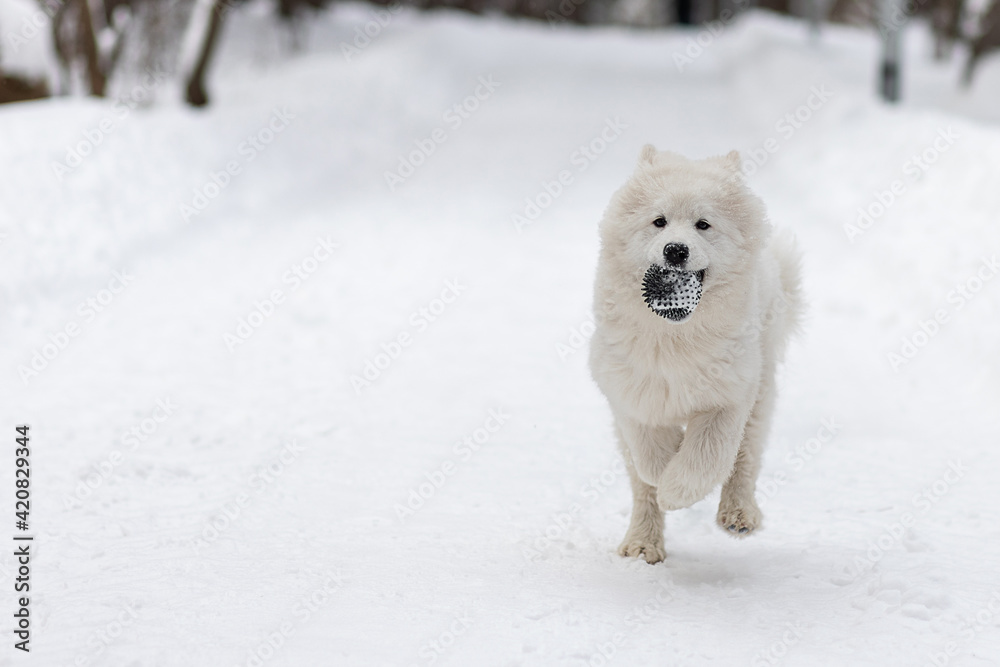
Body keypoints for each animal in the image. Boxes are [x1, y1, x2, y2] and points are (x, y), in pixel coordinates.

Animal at [588, 146, 800, 564]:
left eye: (703, 224)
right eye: (659, 222)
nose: (675, 250)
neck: (677, 335)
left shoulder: (729, 395)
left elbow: (707, 456)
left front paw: (676, 492)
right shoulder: (632, 391)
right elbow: (650, 458)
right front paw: (664, 474)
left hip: (762, 387)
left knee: (745, 458)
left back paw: (738, 515)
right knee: (640, 487)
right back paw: (641, 544)